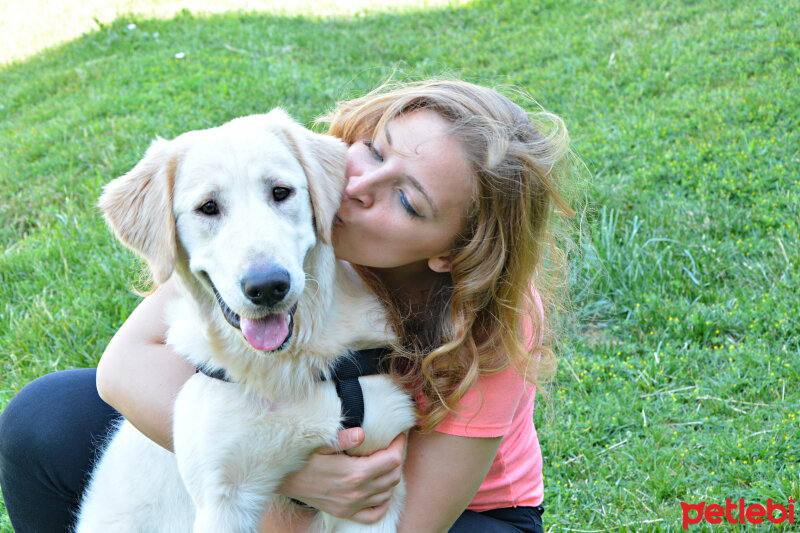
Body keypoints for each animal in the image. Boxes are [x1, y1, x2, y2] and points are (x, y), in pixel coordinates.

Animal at [76, 109, 416, 532]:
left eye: (281, 192)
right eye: (208, 207)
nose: (268, 286)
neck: (287, 367)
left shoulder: (374, 487)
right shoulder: (223, 497)